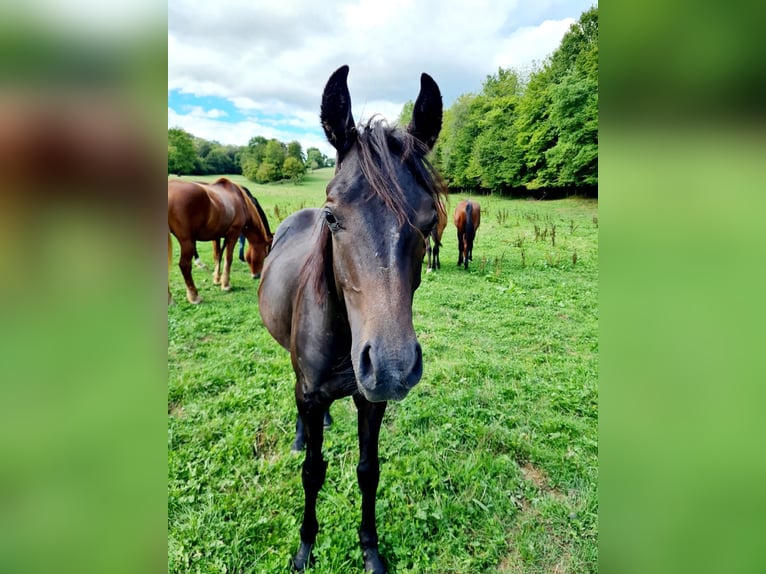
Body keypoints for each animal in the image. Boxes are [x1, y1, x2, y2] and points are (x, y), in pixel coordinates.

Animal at [260, 65, 448, 572]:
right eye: (332, 217)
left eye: (428, 223)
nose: (391, 367)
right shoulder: (310, 390)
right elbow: (312, 472)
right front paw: (305, 547)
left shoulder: (371, 401)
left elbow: (368, 471)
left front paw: (370, 549)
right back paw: (304, 432)